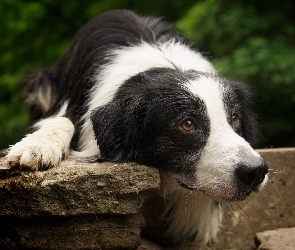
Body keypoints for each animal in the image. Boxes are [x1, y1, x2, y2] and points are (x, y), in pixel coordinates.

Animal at [5, 9, 270, 248]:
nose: (255, 172)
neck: (165, 67)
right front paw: (36, 147)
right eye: (187, 124)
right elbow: (63, 120)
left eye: (235, 119)